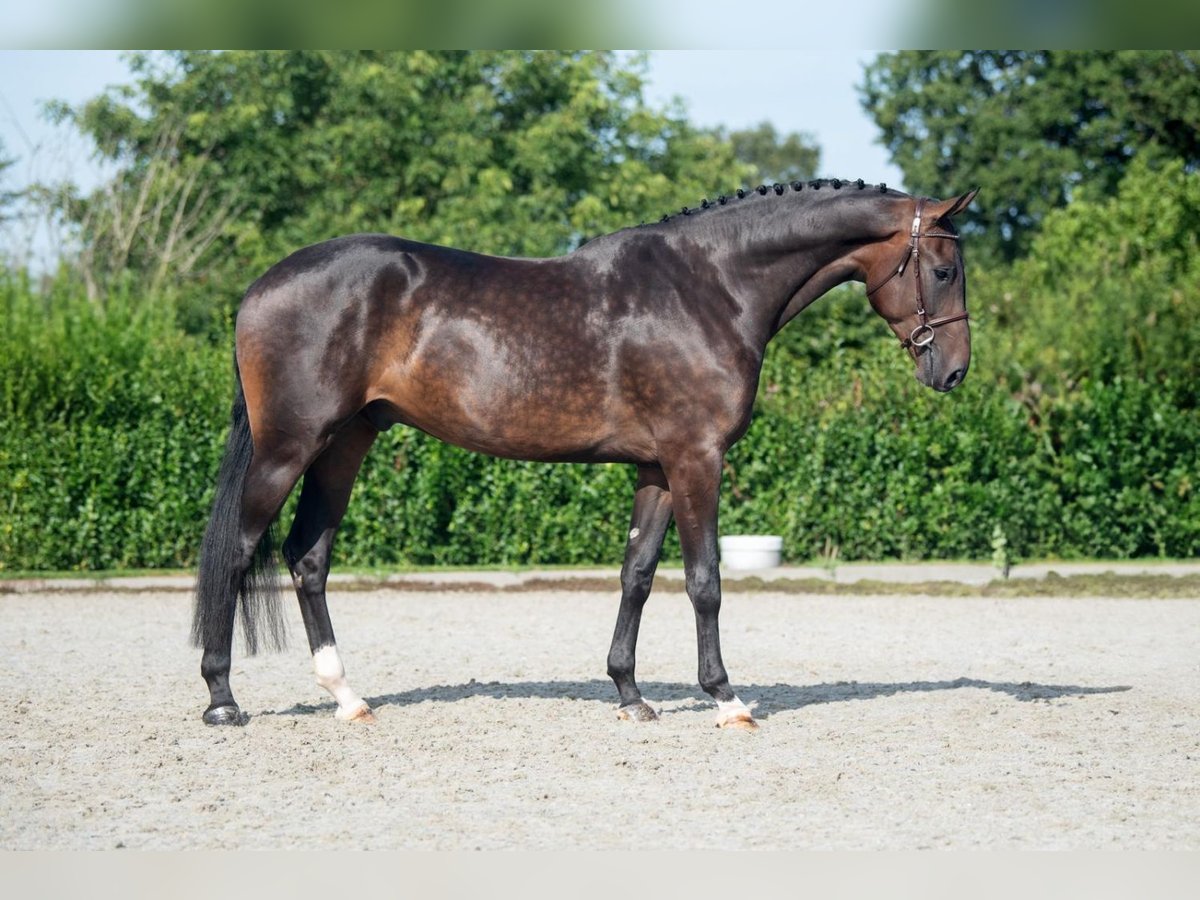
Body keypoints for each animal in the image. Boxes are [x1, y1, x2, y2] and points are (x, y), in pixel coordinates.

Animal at [189, 177, 974, 734]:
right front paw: (726, 698)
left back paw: (347, 697)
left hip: (346, 443)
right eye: (943, 269)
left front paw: (629, 692)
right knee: (239, 551)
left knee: (308, 558)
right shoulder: (697, 460)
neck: (710, 288)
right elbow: (705, 581)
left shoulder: (657, 469)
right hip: (290, 448)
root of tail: (259, 288)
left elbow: (636, 575)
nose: (955, 372)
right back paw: (223, 699)